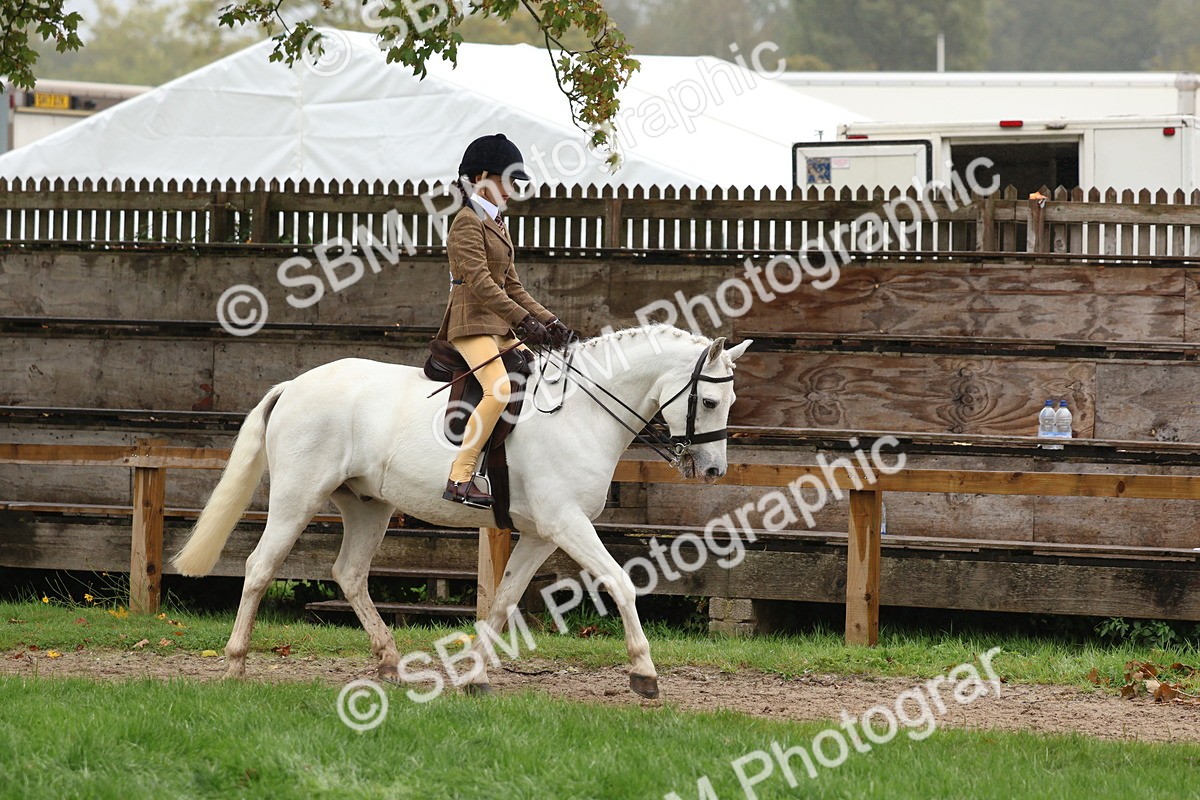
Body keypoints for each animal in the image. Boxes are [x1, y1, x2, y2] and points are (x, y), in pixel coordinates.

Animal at [172, 324, 752, 698]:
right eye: (708, 402)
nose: (712, 470)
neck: (582, 411)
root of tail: (294, 384)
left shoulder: (541, 533)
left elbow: (504, 602)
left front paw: (475, 679)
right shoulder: (567, 523)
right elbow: (621, 583)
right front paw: (645, 674)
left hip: (369, 505)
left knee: (350, 572)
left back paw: (389, 662)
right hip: (298, 497)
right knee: (260, 568)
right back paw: (235, 665)